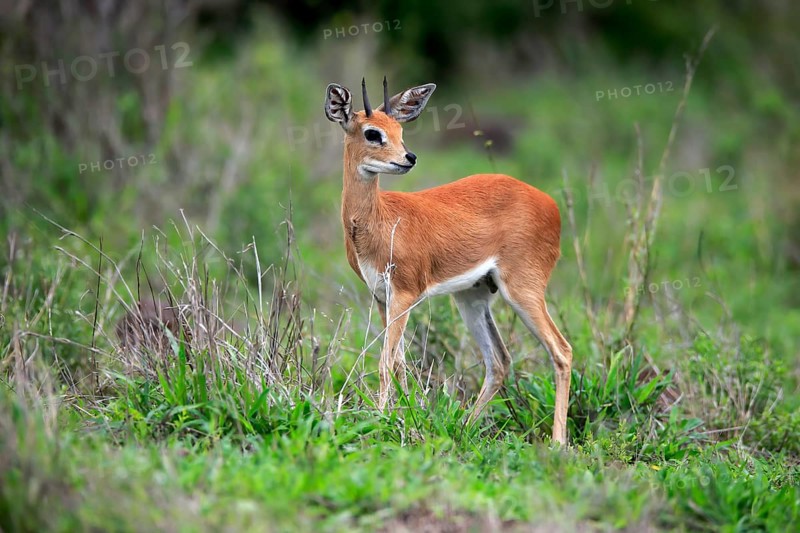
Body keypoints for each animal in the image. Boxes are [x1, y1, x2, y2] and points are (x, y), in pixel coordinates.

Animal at [324, 78, 573, 444]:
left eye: (399, 130)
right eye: (372, 133)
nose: (409, 158)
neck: (380, 220)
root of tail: (550, 204)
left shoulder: (405, 295)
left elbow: (385, 363)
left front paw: (381, 424)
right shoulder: (382, 298)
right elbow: (398, 363)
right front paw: (401, 419)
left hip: (522, 290)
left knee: (561, 351)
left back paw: (557, 442)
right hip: (472, 296)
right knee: (499, 360)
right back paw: (465, 427)